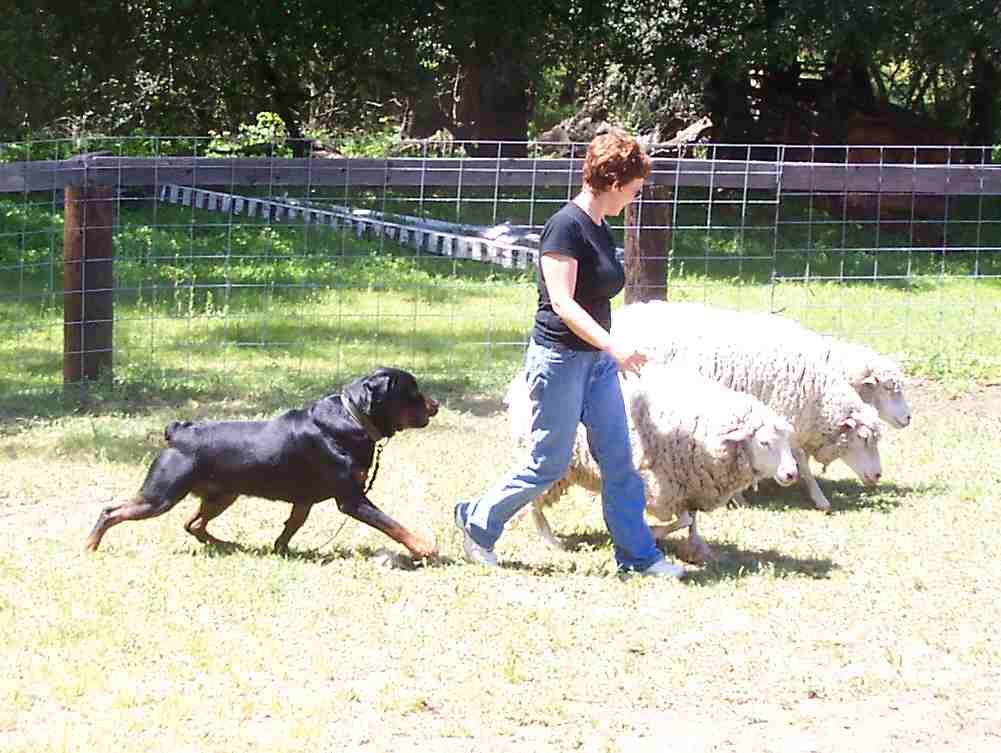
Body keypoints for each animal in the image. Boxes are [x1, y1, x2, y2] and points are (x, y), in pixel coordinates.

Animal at [88, 368, 440, 556]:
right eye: (412, 392)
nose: (435, 404)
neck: (352, 418)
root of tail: (178, 431)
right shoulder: (352, 500)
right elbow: (392, 524)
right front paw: (424, 548)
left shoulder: (304, 500)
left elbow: (291, 526)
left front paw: (280, 550)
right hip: (161, 496)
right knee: (111, 511)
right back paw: (90, 547)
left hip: (221, 495)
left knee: (193, 524)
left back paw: (227, 544)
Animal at [508, 364, 796, 564]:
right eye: (764, 443)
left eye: (787, 441)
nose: (791, 474)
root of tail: (518, 382)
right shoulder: (661, 485)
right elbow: (681, 520)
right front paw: (654, 532)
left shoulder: (690, 487)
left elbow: (690, 521)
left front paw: (697, 549)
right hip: (551, 458)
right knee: (533, 500)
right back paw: (549, 540)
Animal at [608, 300, 884, 512]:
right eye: (863, 438)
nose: (878, 475)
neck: (815, 391)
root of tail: (625, 314)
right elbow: (800, 461)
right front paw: (819, 498)